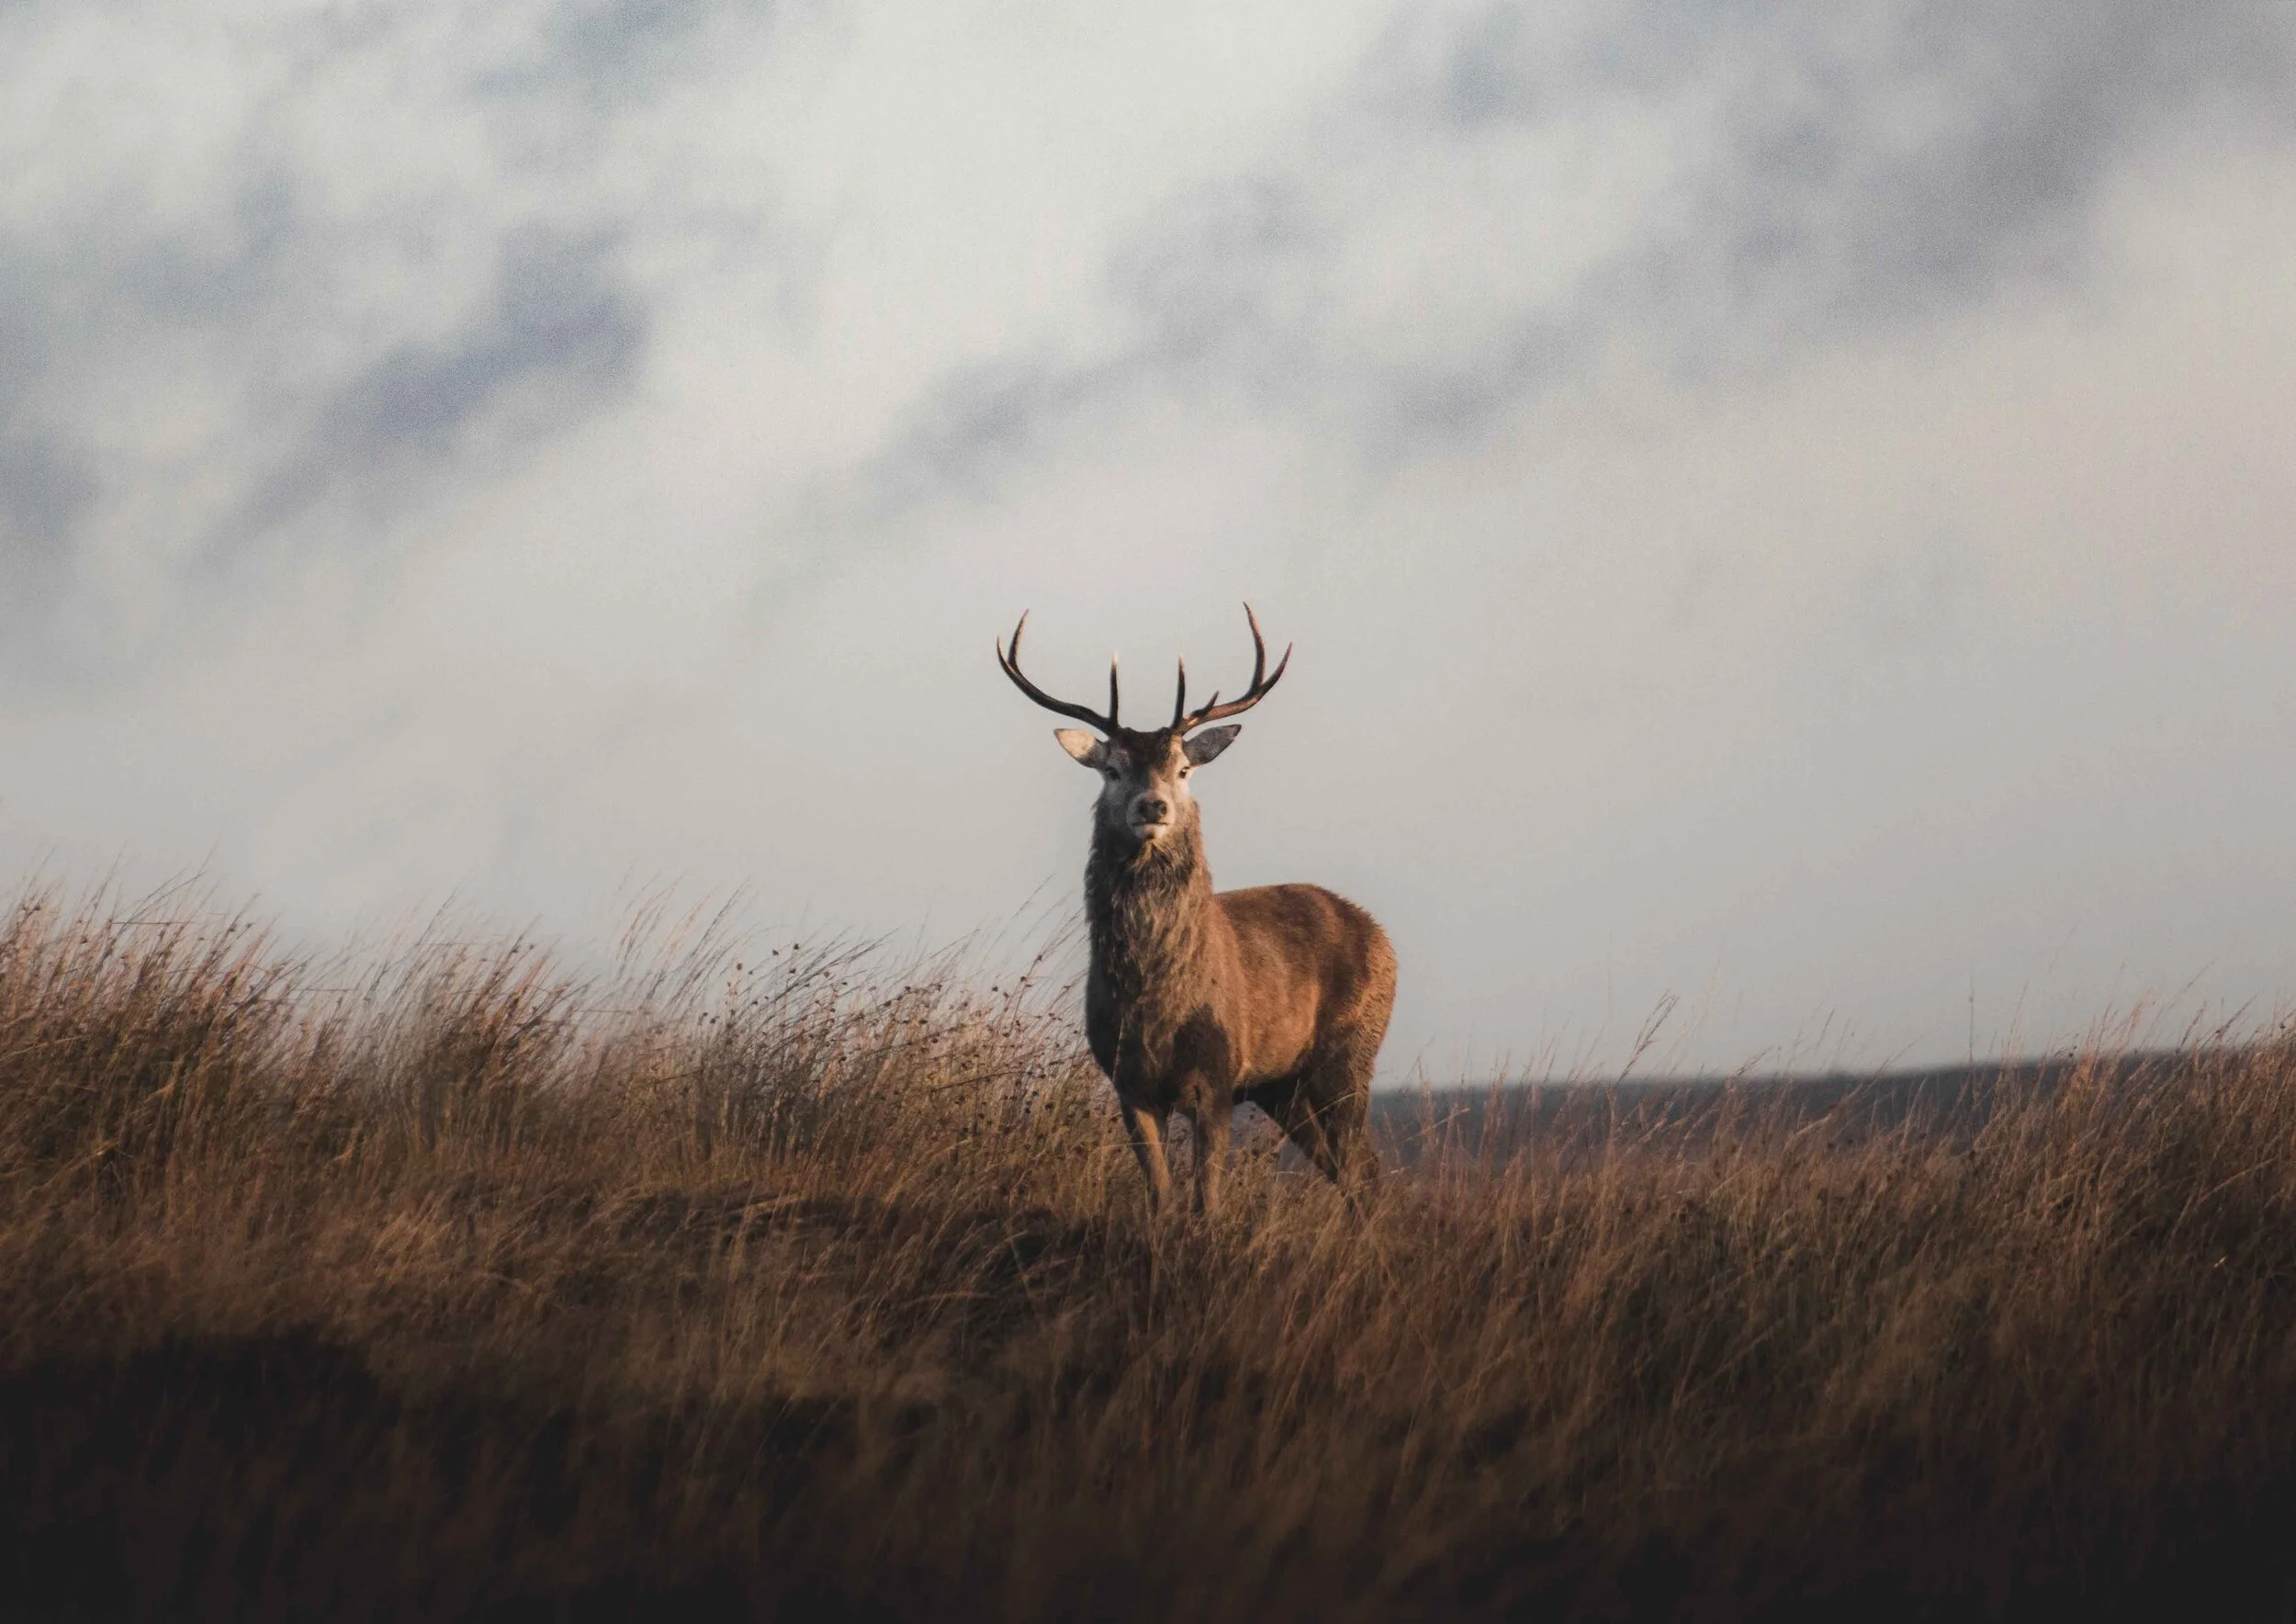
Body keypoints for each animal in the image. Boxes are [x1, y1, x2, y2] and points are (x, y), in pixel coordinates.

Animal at [997, 604, 1397, 1216]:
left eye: (1183, 770)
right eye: (1112, 770)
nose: (1153, 806)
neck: (1156, 1007)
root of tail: (1382, 937)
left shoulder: (1218, 1077)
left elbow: (1207, 1202)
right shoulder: (1128, 1084)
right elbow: (1160, 1199)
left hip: (1352, 1049)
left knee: (1363, 1169)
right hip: (1283, 1084)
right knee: (1347, 1170)